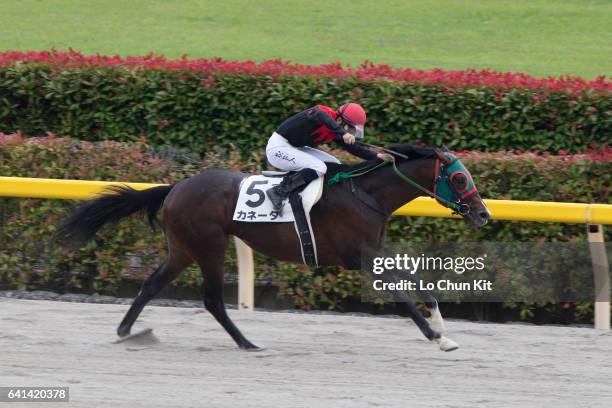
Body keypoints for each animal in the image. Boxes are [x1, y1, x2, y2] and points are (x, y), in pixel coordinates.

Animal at [55, 143, 490, 350]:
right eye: (460, 178)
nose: (484, 214)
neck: (366, 194)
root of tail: (176, 186)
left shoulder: (372, 252)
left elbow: (417, 282)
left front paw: (440, 324)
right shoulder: (359, 258)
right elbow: (402, 297)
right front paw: (438, 338)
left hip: (182, 249)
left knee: (150, 285)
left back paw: (128, 331)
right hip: (209, 246)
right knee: (212, 300)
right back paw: (247, 342)